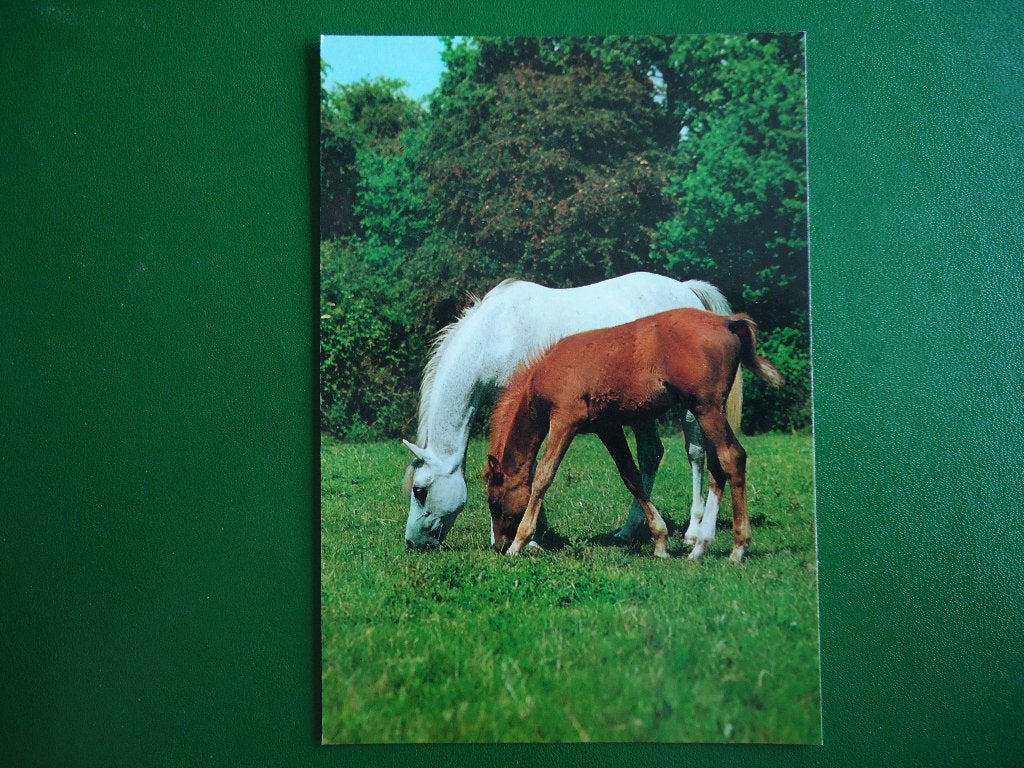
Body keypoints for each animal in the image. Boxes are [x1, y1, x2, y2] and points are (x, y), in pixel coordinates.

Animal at [402, 272, 742, 550]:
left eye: (420, 491)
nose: (412, 543)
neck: (495, 336)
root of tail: (686, 290)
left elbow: (532, 469)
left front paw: (530, 538)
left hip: (690, 406)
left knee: (695, 453)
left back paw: (693, 531)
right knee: (650, 454)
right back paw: (629, 531)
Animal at [484, 308, 784, 561]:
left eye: (494, 501)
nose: (498, 544)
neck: (547, 369)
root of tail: (726, 322)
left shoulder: (564, 420)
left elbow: (544, 475)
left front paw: (519, 542)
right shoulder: (608, 427)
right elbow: (631, 476)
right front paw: (660, 541)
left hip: (706, 408)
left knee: (732, 457)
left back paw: (738, 548)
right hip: (707, 411)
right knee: (716, 468)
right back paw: (699, 547)